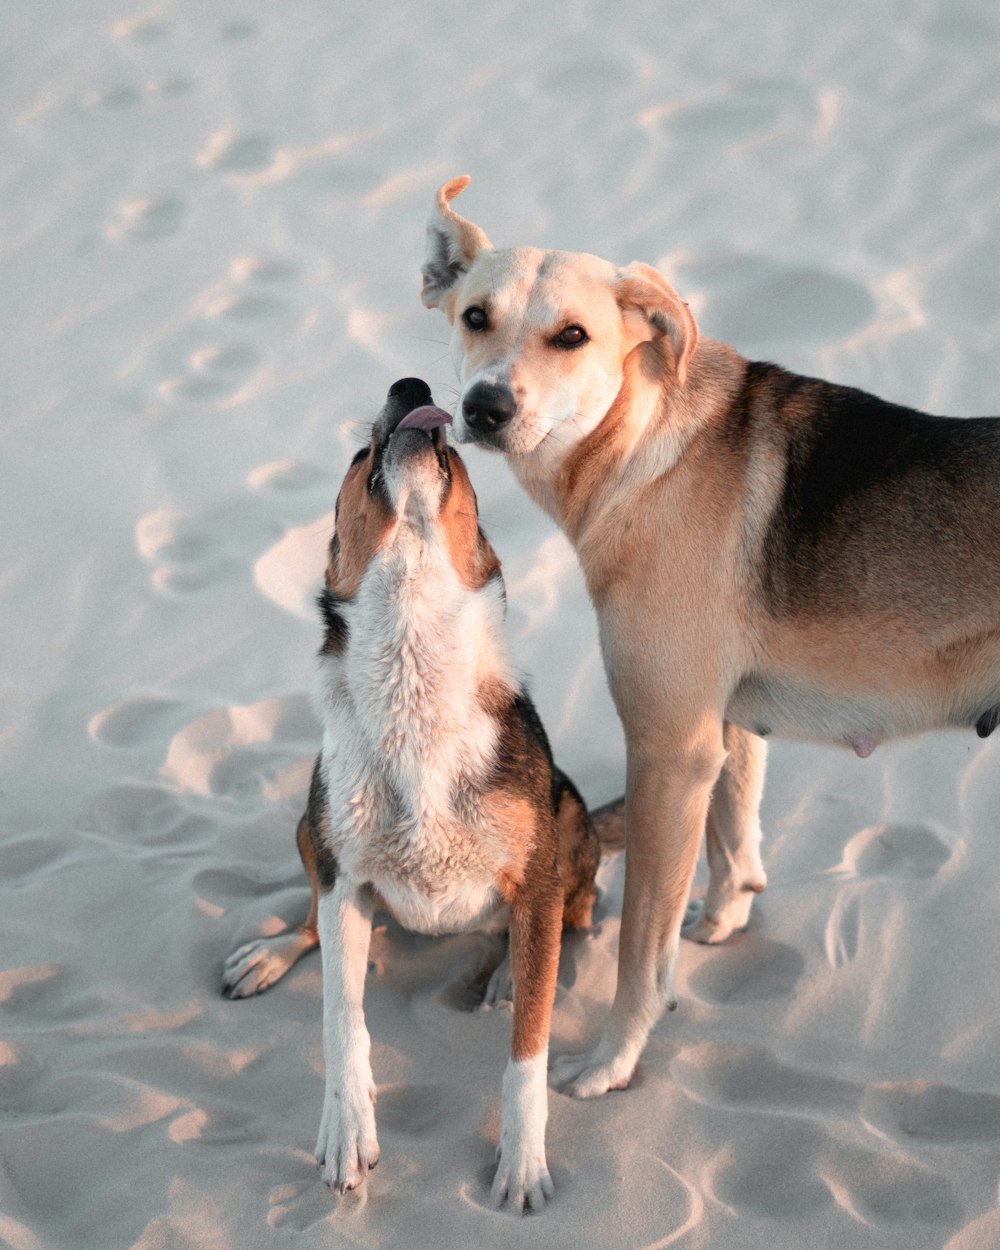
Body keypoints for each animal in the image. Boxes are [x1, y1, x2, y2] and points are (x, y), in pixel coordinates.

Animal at [225, 372, 602, 1210]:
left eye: (455, 456)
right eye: (359, 453)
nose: (412, 385)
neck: (412, 654)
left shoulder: (535, 869)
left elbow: (528, 1051)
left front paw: (521, 1163)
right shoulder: (343, 874)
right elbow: (341, 1017)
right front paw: (346, 1132)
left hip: (569, 818)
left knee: (568, 915)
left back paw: (515, 966)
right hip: (308, 830)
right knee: (315, 922)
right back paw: (269, 953)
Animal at [420, 178, 1000, 1105]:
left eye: (573, 335)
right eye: (475, 317)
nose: (484, 407)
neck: (640, 448)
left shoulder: (666, 749)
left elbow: (637, 947)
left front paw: (613, 1059)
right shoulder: (721, 724)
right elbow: (734, 830)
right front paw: (726, 916)